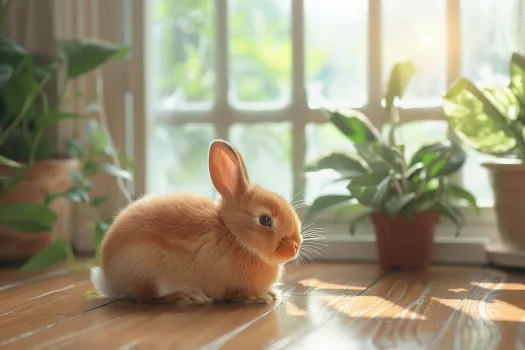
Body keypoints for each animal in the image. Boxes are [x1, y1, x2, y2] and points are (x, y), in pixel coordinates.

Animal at [90, 138, 302, 304]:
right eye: (265, 220)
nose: (295, 246)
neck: (234, 234)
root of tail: (108, 278)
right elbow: (235, 293)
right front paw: (261, 297)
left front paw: (272, 293)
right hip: (149, 271)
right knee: (147, 296)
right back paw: (186, 296)